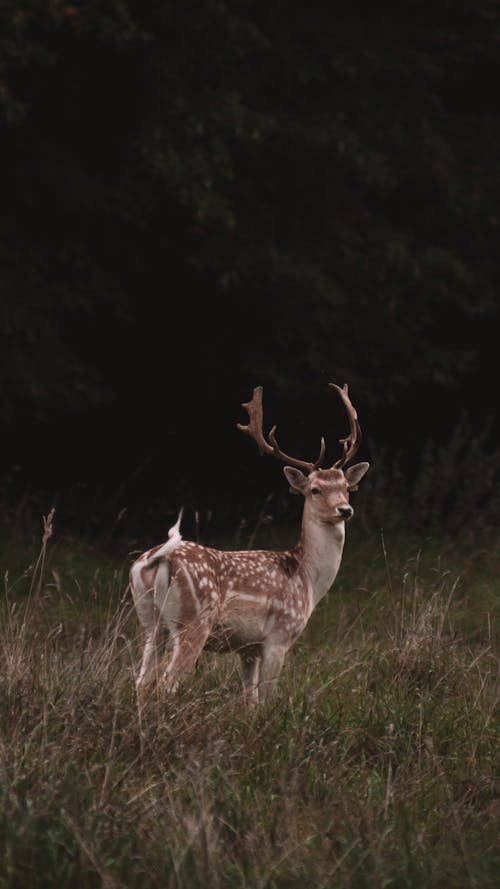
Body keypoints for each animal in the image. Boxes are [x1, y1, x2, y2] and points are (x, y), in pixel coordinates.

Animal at [131, 382, 370, 700]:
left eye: (346, 487)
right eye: (315, 489)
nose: (345, 509)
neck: (307, 579)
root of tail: (155, 559)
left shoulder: (248, 648)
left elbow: (250, 700)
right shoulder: (279, 636)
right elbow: (267, 698)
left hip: (148, 620)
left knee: (141, 681)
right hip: (193, 621)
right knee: (168, 683)